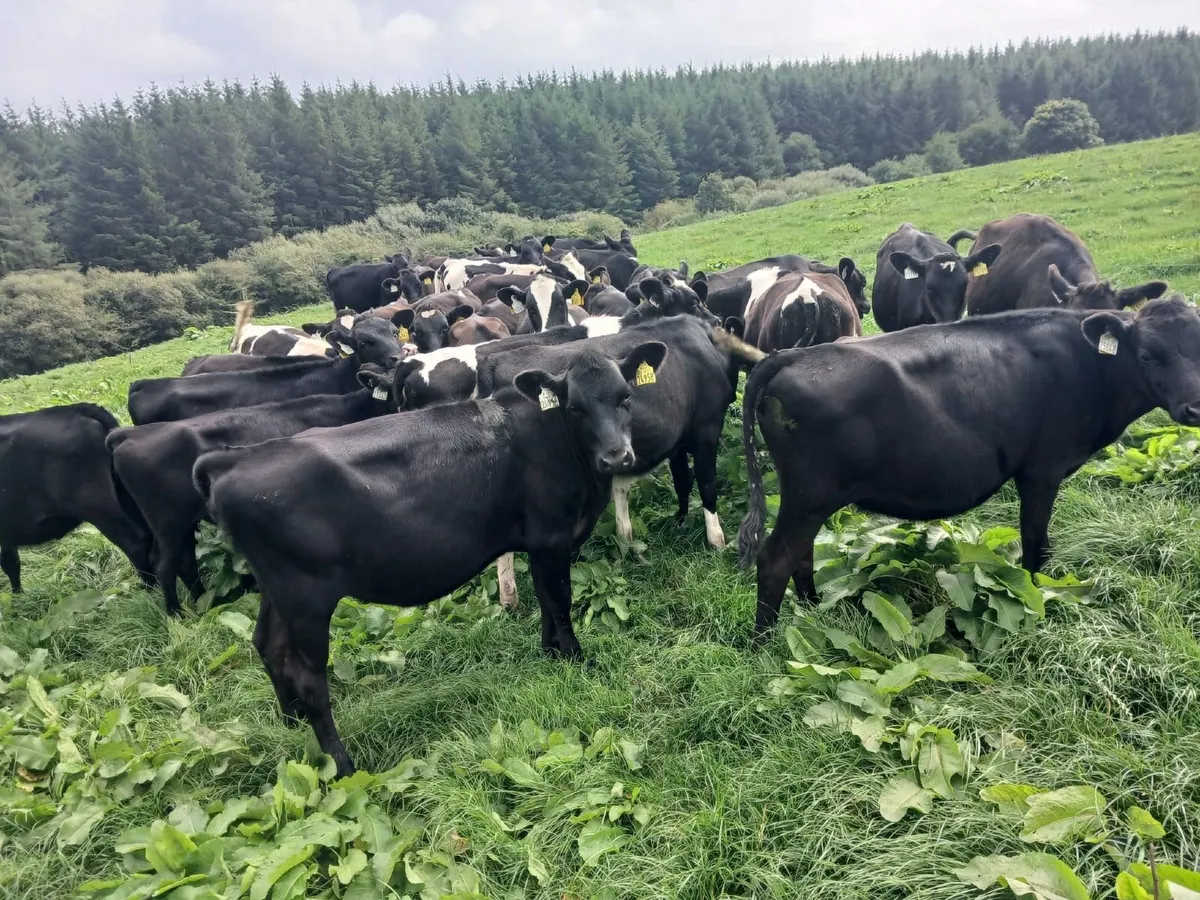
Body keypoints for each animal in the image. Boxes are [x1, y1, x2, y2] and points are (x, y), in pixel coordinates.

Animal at [1, 404, 153, 593]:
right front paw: (18, 595)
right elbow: (10, 561)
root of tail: (79, 409)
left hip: (99, 508)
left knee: (136, 544)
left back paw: (150, 590)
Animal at [109, 388, 392, 616]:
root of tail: (128, 435)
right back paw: (175, 615)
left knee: (186, 563)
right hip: (168, 523)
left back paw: (202, 605)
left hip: (182, 524)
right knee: (165, 566)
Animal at [194, 340, 668, 776]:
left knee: (267, 645)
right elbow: (561, 601)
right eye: (575, 407)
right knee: (309, 678)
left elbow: (548, 604)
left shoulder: (539, 542)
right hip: (305, 597)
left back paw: (290, 722)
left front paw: (550, 654)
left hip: (277, 589)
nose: (617, 455)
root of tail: (232, 460)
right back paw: (343, 765)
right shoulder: (552, 537)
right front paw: (574, 659)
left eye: (626, 396)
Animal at [736, 297, 1200, 639]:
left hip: (809, 498)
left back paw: (815, 614)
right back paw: (766, 644)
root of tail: (790, 356)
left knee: (801, 551)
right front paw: (1036, 600)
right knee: (776, 557)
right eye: (1148, 356)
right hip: (810, 492)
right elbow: (1037, 543)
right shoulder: (1042, 469)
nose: (1195, 407)